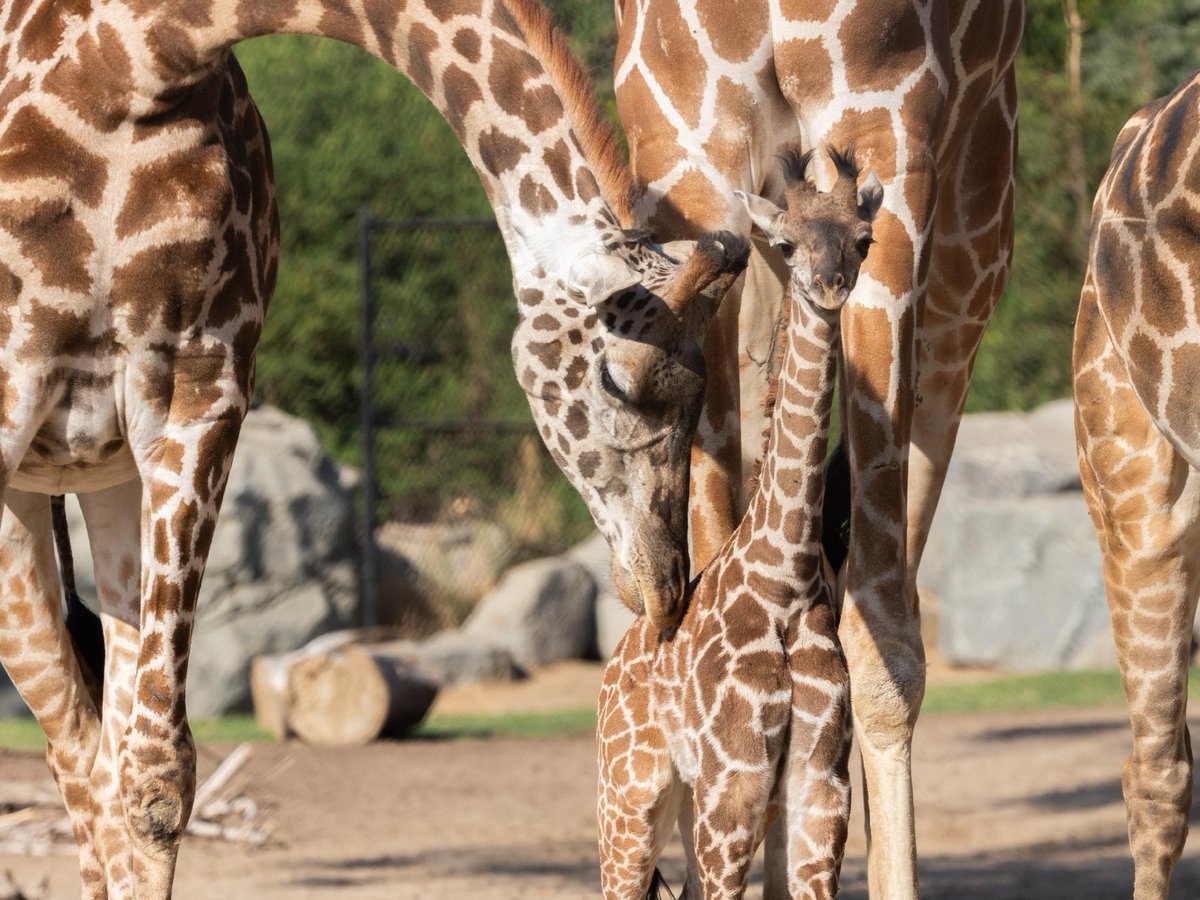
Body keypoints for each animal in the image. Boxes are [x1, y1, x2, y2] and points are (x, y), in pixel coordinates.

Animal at [0, 1, 749, 895]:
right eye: (615, 380)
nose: (664, 587)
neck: (135, 62)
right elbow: (128, 774)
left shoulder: (201, 391)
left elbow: (154, 780)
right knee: (74, 750)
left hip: (104, 479)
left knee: (95, 752)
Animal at [597, 147, 882, 899]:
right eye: (785, 244)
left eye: (863, 241)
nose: (831, 284)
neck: (785, 581)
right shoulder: (735, 787)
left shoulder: (818, 790)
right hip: (628, 802)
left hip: (687, 801)